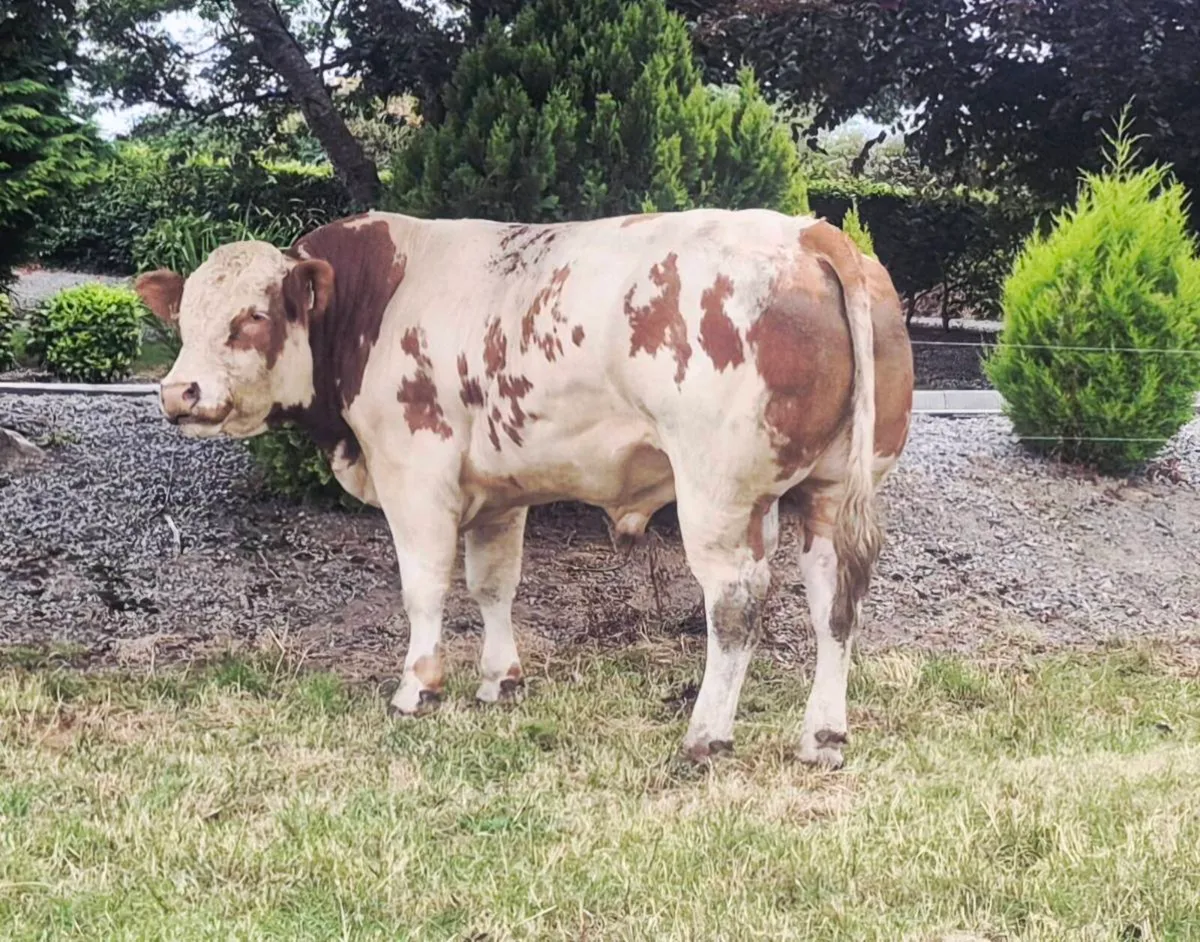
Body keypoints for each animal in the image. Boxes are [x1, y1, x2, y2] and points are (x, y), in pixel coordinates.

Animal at [135, 208, 913, 768]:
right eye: (183, 317)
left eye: (253, 317)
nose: (178, 392)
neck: (370, 304)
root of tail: (808, 233)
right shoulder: (498, 493)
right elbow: (492, 586)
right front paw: (499, 679)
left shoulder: (416, 474)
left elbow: (424, 588)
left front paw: (418, 686)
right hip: (829, 491)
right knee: (835, 604)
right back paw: (823, 738)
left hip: (721, 494)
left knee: (735, 604)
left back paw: (705, 737)